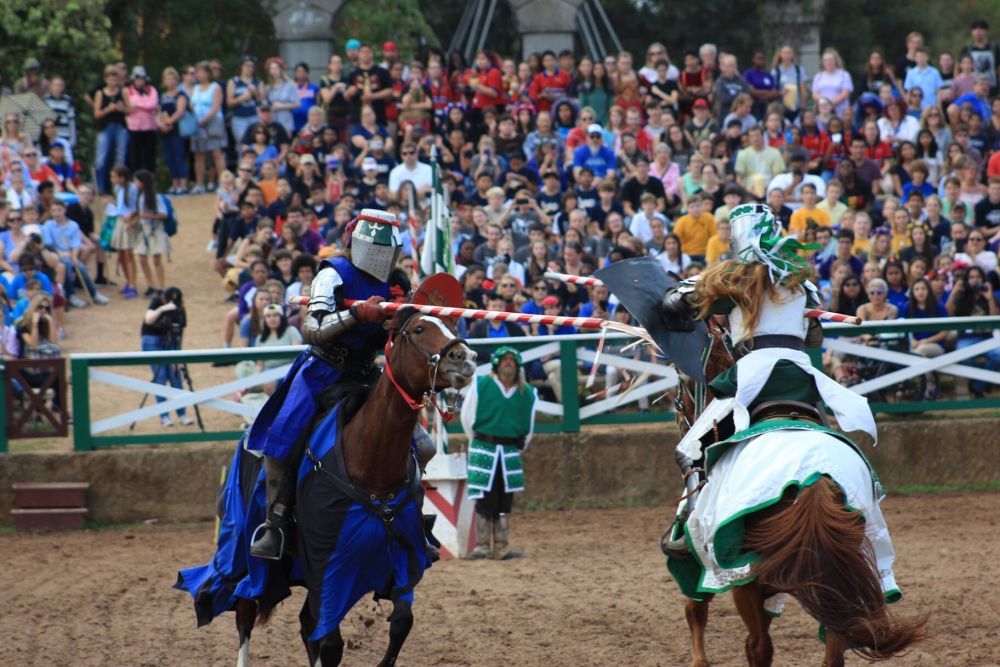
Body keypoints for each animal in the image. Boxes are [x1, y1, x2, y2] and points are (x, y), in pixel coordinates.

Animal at [236, 310, 478, 667]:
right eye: (419, 329)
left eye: (452, 326)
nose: (466, 358)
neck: (371, 465)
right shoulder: (330, 570)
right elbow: (331, 644)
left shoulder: (402, 560)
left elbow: (402, 622)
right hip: (241, 553)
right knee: (245, 614)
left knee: (306, 623)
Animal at [668, 318, 924, 667]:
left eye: (681, 379)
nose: (679, 415)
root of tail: (812, 477)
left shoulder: (704, 556)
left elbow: (694, 607)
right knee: (834, 645)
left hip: (747, 578)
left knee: (758, 645)